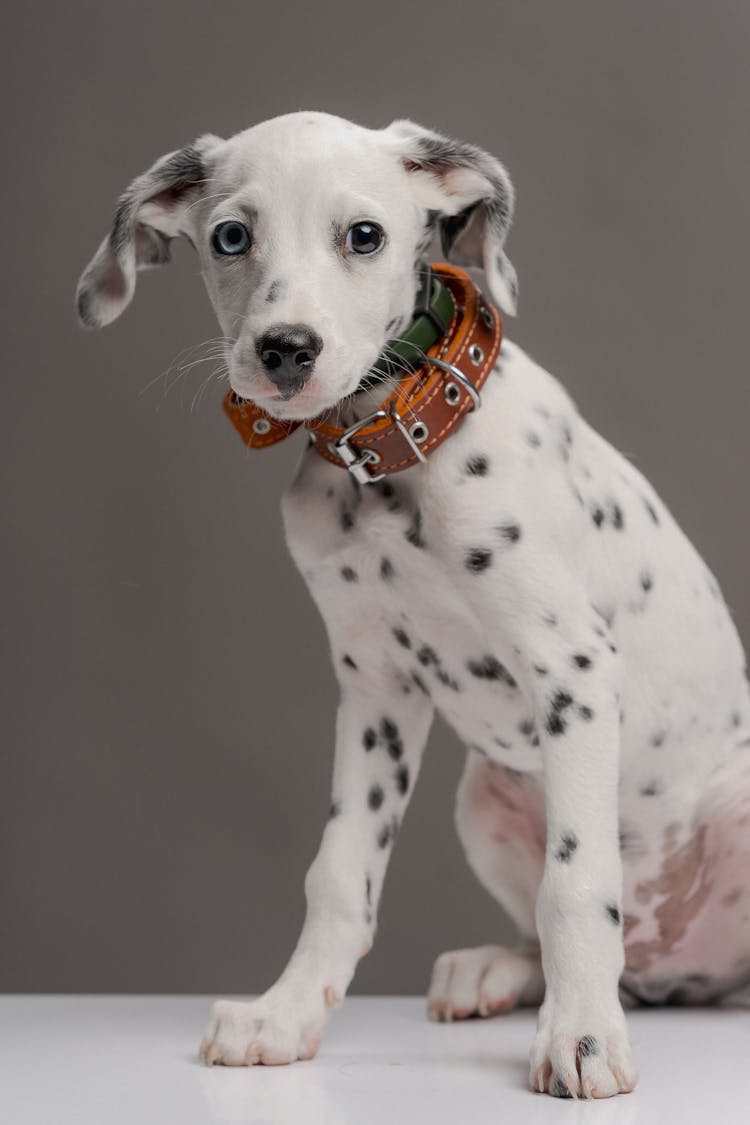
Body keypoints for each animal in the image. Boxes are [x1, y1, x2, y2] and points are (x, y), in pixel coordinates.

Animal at [77, 111, 750, 1098]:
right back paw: (494, 972)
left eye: (365, 236)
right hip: (483, 795)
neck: (388, 448)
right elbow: (339, 875)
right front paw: (286, 1013)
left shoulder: (574, 668)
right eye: (230, 237)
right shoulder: (376, 689)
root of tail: (683, 966)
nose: (285, 349)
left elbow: (576, 883)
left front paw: (583, 1036)